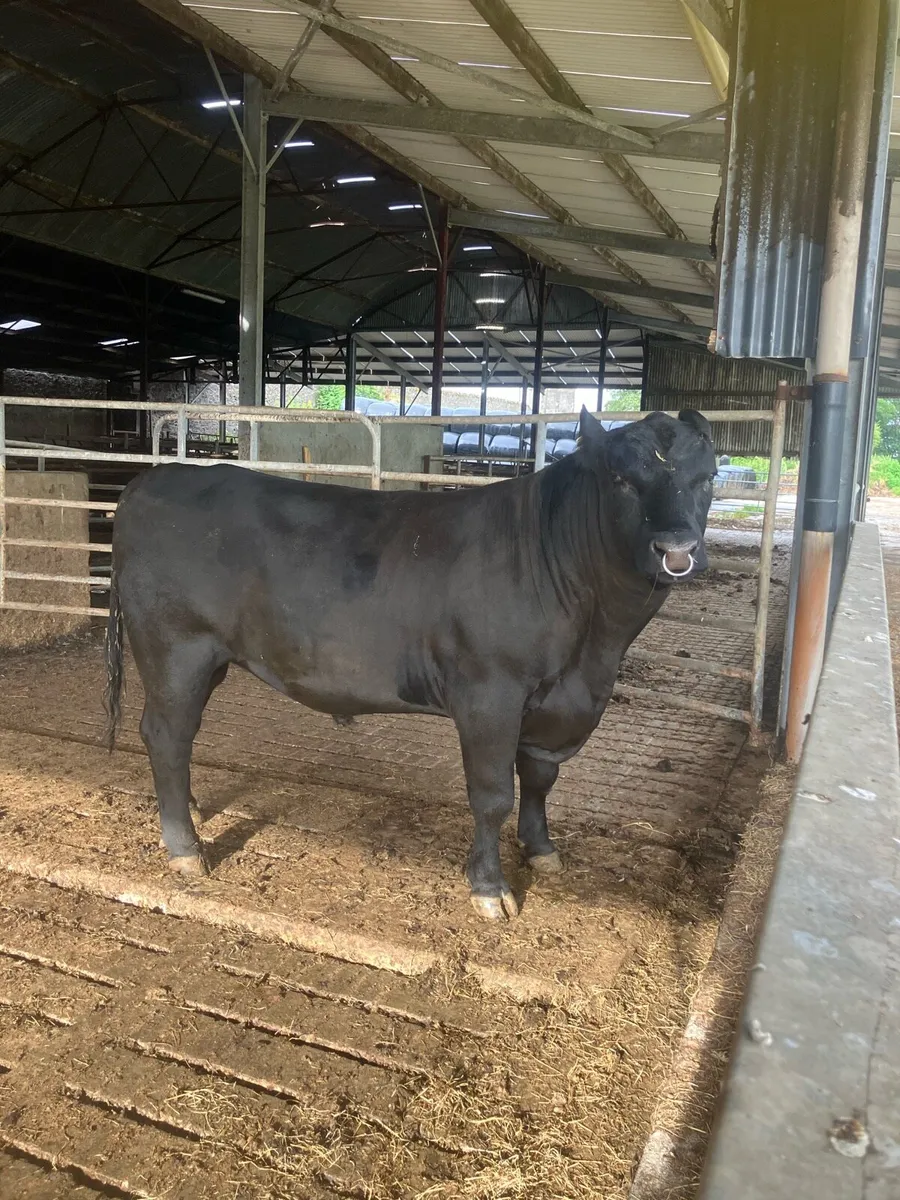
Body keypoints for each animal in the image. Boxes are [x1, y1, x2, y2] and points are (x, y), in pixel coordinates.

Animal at [103, 408, 716, 920]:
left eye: (708, 477)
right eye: (622, 480)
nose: (676, 548)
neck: (596, 648)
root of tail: (153, 478)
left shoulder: (559, 704)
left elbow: (541, 778)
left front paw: (541, 850)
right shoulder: (490, 693)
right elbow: (493, 794)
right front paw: (490, 888)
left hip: (206, 660)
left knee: (178, 739)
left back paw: (186, 809)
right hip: (175, 648)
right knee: (165, 734)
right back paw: (185, 848)